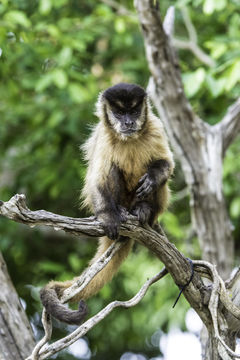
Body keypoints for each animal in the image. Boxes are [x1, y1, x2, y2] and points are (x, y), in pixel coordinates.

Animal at [39, 83, 174, 324]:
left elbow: (167, 164)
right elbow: (97, 179)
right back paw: (118, 211)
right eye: (119, 113)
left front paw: (152, 177)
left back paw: (145, 210)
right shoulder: (104, 135)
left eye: (133, 111)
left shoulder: (156, 126)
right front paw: (108, 216)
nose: (128, 122)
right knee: (110, 168)